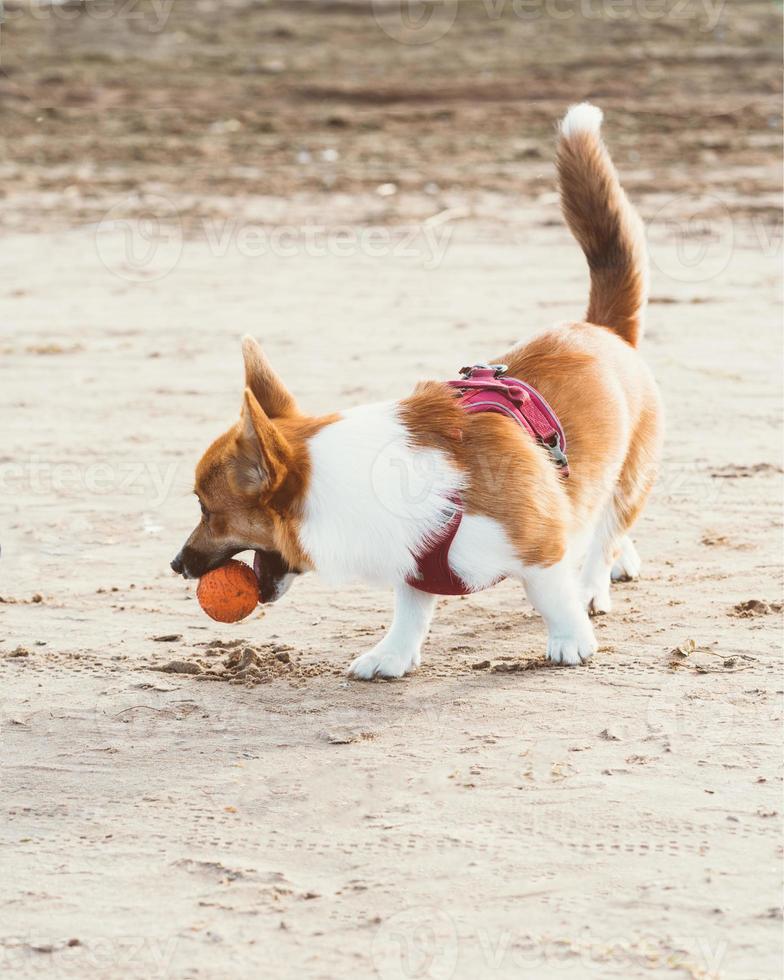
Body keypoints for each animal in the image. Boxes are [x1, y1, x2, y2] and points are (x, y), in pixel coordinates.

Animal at [170, 103, 660, 676]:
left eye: (207, 509)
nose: (176, 564)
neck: (349, 482)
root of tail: (601, 329)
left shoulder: (539, 547)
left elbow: (551, 594)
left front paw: (570, 636)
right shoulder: (416, 560)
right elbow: (411, 610)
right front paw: (393, 655)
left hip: (629, 478)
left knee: (605, 531)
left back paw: (593, 584)